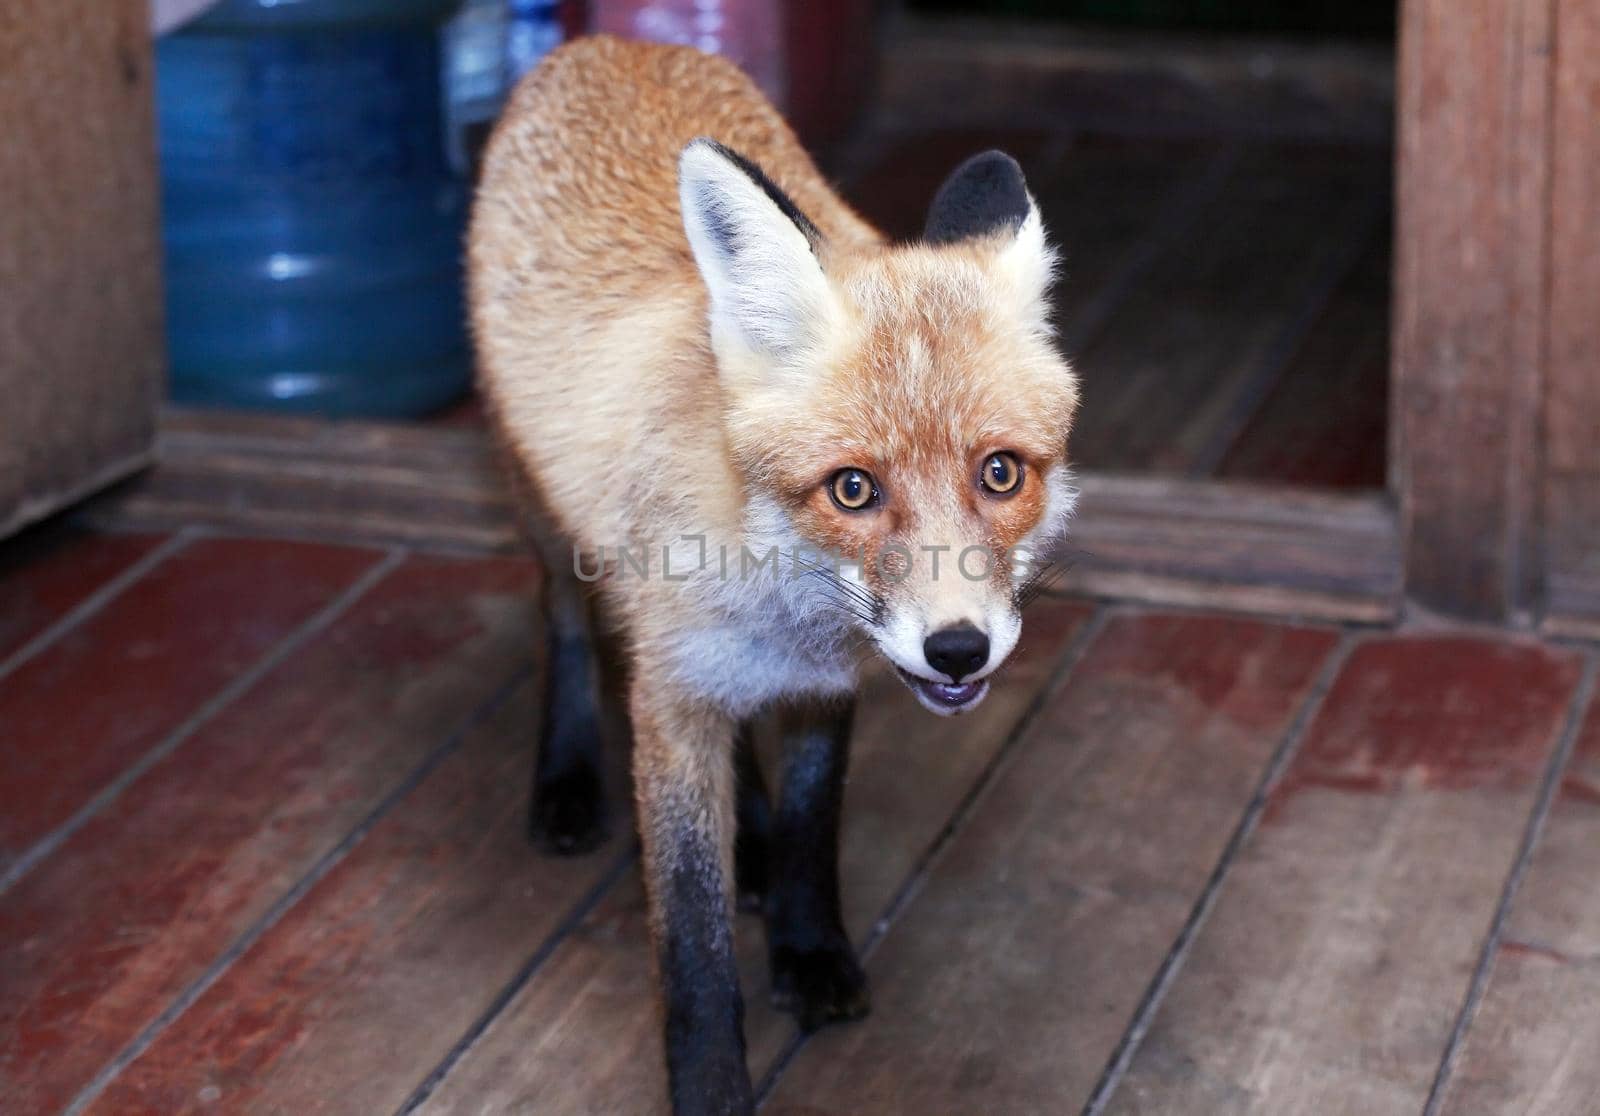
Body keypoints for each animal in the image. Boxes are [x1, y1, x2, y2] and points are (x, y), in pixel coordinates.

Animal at [467, 32, 1081, 1112]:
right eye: (853, 489)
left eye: (1001, 472)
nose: (958, 650)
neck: (771, 586)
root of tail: (606, 42)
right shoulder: (671, 709)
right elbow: (691, 941)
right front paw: (712, 1084)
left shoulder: (823, 685)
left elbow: (808, 826)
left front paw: (806, 950)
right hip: (540, 508)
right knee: (568, 624)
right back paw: (567, 778)